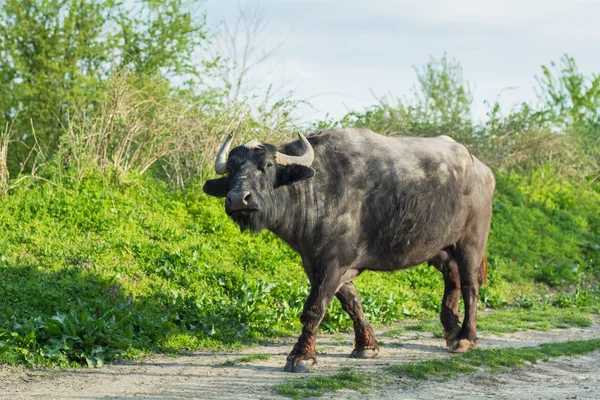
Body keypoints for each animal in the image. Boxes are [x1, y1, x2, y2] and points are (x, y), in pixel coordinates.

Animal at [204, 127, 494, 372]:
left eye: (267, 165)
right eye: (231, 170)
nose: (238, 199)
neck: (317, 189)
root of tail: (483, 170)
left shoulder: (332, 263)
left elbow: (314, 308)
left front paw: (301, 356)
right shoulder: (317, 263)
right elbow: (352, 303)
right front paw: (366, 345)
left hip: (471, 243)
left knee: (470, 287)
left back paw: (466, 337)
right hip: (441, 248)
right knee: (452, 280)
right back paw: (452, 334)